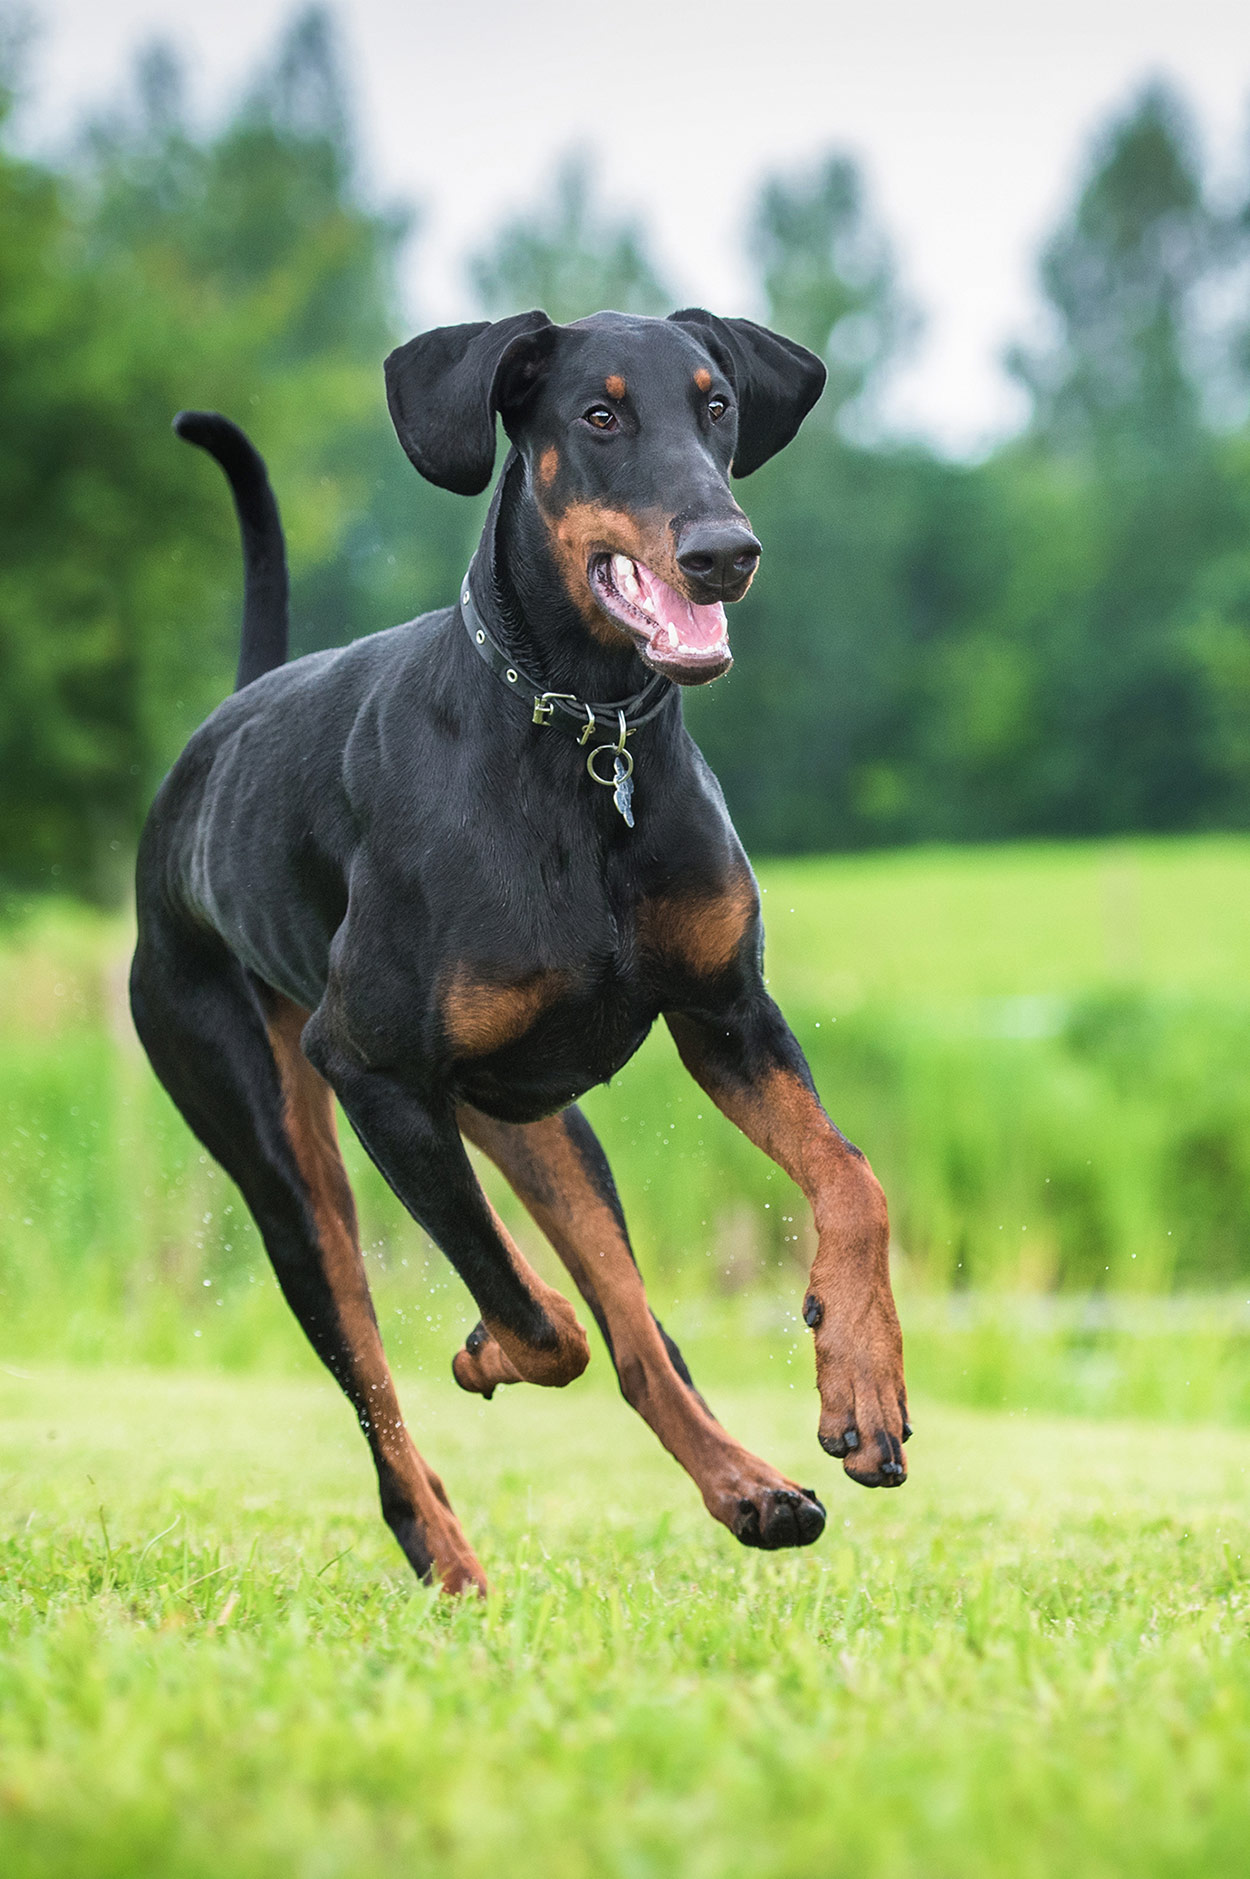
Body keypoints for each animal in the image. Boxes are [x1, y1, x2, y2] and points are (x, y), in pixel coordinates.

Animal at [131, 311, 902, 1600]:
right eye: (596, 416)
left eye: (716, 406)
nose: (723, 552)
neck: (584, 740)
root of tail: (212, 742)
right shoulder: (372, 1071)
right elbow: (538, 1318)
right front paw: (489, 1346)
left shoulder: (727, 1016)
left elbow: (848, 1181)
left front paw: (862, 1376)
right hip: (281, 1151)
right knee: (383, 1381)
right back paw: (445, 1553)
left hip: (534, 1122)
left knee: (636, 1331)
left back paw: (747, 1487)